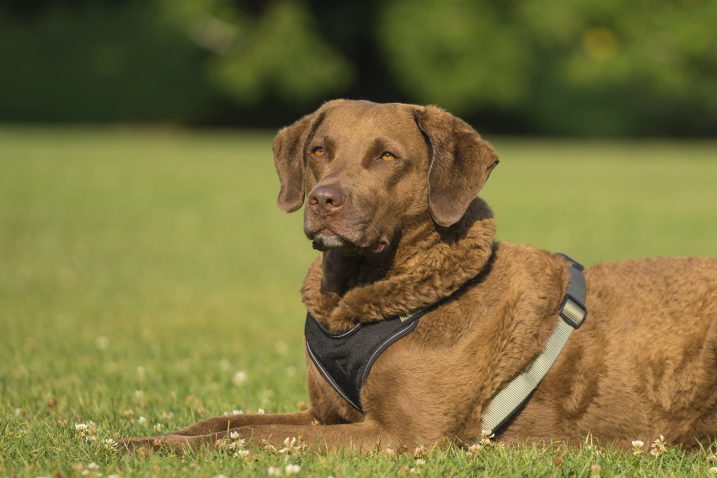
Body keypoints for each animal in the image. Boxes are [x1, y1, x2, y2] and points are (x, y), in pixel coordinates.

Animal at [123, 100, 716, 452]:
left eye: (387, 156)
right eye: (319, 151)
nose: (324, 200)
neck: (356, 301)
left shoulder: (401, 434)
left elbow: (250, 433)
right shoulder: (326, 413)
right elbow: (225, 420)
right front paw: (145, 443)